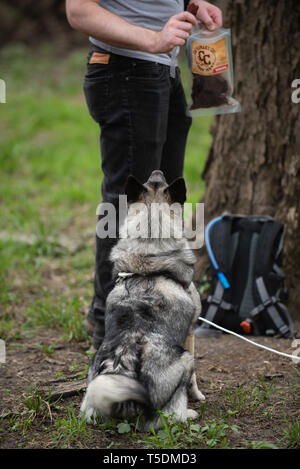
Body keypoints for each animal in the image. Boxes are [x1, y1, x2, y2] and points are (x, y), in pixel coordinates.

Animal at [81, 170, 205, 430]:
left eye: (154, 181)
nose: (157, 171)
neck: (148, 263)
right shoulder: (191, 332)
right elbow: (195, 379)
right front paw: (198, 396)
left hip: (93, 387)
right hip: (185, 360)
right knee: (168, 416)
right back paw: (189, 414)